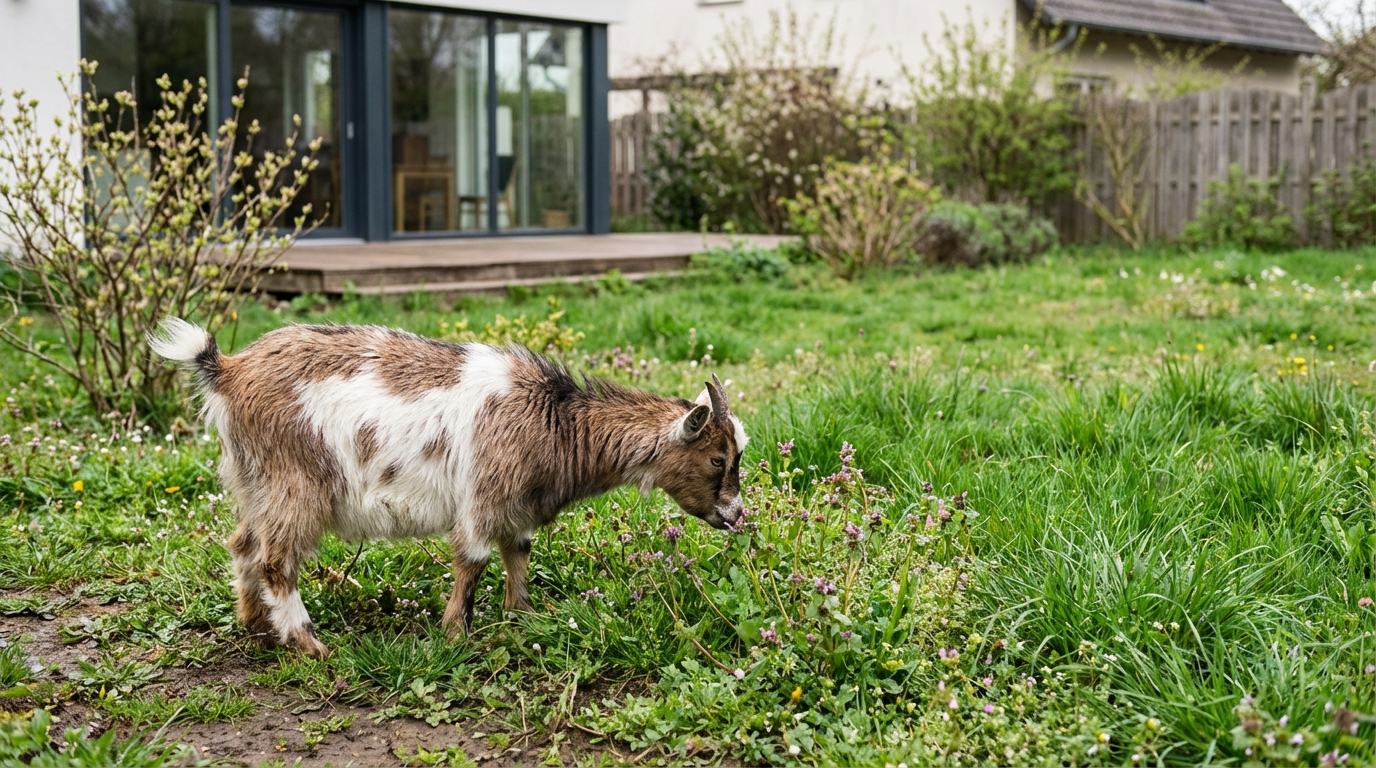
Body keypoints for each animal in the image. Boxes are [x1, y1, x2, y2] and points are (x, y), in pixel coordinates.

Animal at [149, 317, 747, 657]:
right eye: (719, 458)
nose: (737, 515)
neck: (554, 419)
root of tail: (227, 370)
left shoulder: (513, 507)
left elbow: (517, 552)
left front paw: (523, 616)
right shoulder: (484, 497)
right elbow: (472, 559)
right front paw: (457, 633)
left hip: (255, 481)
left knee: (243, 545)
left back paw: (255, 626)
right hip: (296, 481)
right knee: (276, 558)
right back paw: (309, 645)